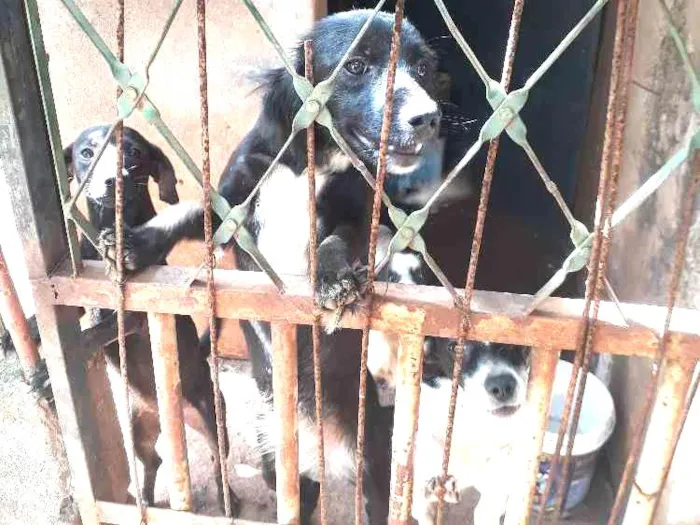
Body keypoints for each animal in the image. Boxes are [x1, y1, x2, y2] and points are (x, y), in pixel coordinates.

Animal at [95, 9, 440, 524]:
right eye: (356, 66)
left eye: (422, 68)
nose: (429, 118)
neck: (315, 162)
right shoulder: (231, 203)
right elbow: (183, 212)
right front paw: (133, 244)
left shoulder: (359, 218)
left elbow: (337, 240)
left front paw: (334, 280)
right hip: (275, 466)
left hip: (375, 467)